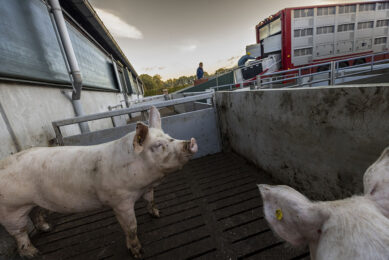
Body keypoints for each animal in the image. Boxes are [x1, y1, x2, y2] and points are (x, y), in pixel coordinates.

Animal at [0, 105, 197, 258]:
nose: (191, 142)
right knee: (19, 233)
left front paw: (157, 214)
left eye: (169, 136)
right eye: (157, 146)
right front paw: (137, 253)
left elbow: (151, 200)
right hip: (11, 209)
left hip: (32, 202)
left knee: (36, 213)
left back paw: (47, 228)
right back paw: (33, 253)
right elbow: (131, 227)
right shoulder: (120, 201)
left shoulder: (147, 189)